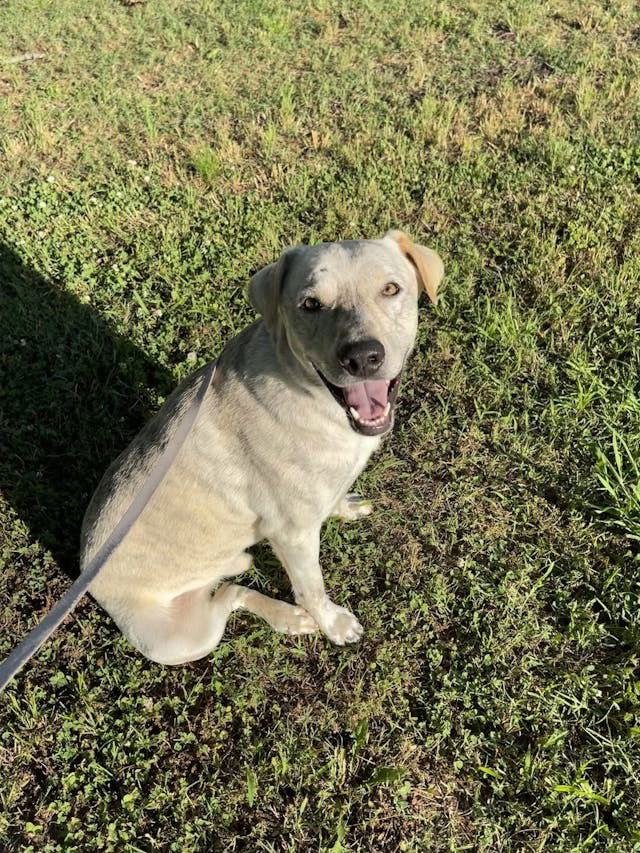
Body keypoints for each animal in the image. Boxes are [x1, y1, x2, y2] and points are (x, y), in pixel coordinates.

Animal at [79, 230, 440, 664]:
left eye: (390, 289)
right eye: (310, 304)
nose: (362, 358)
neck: (309, 392)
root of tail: (88, 581)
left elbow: (334, 498)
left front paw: (344, 507)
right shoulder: (293, 535)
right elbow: (312, 588)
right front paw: (333, 625)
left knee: (229, 588)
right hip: (182, 641)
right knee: (230, 595)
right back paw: (291, 617)